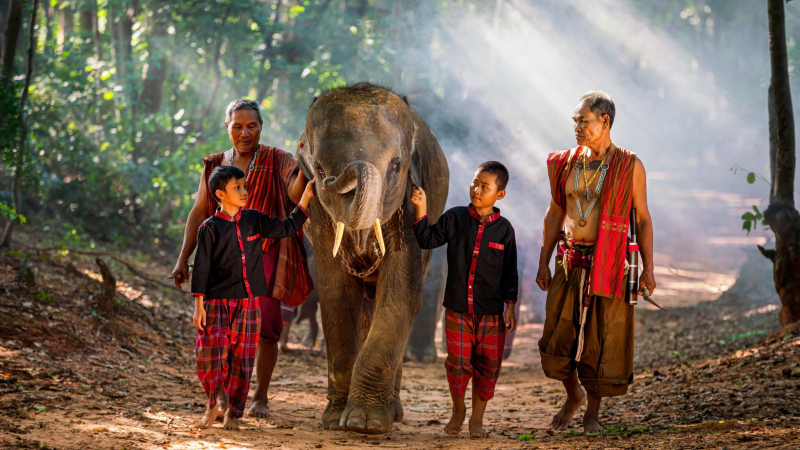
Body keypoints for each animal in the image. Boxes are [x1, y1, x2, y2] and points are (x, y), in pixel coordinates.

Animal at [295, 82, 449, 434]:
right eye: (319, 169)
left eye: (395, 166)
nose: (328, 181)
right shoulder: (319, 212)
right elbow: (334, 289)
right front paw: (336, 420)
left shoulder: (411, 198)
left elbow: (400, 288)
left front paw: (366, 424)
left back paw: (395, 413)